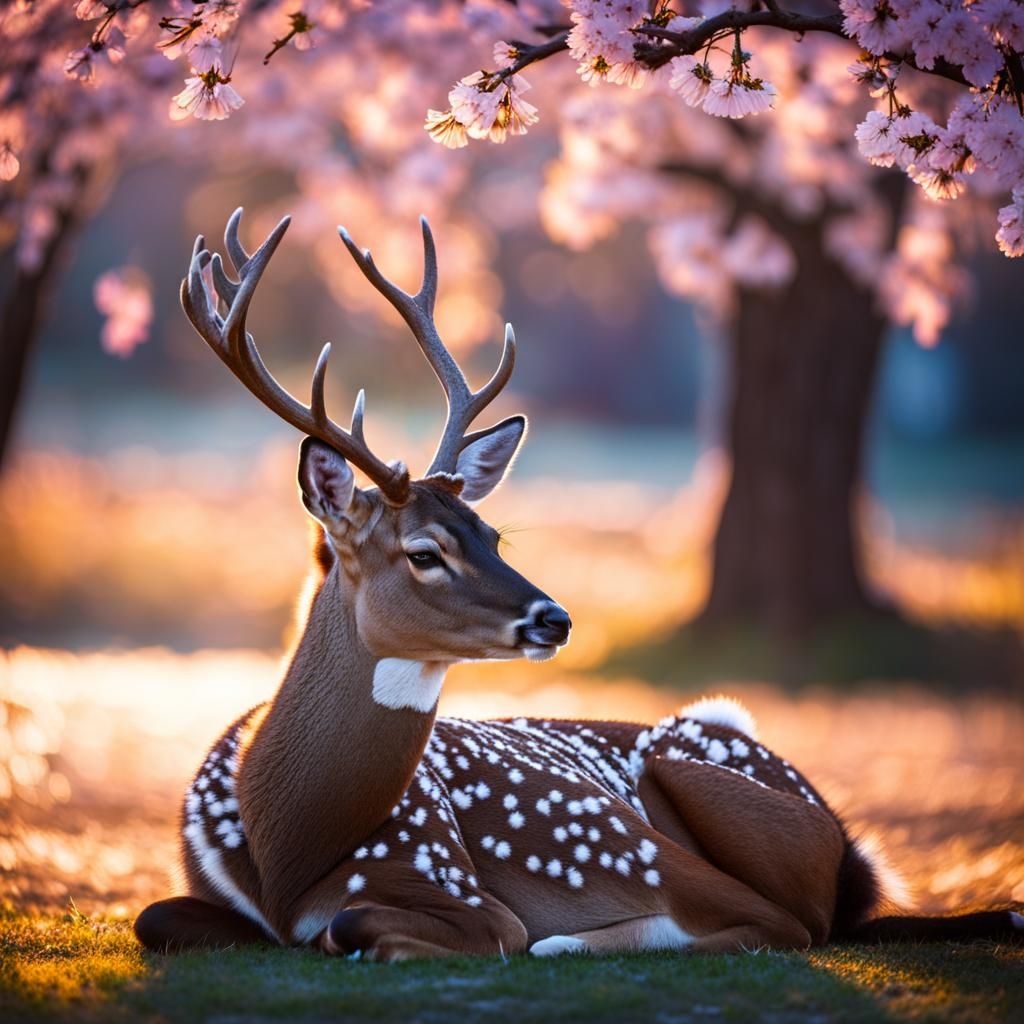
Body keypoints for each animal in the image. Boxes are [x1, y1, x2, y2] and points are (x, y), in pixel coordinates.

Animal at [135, 209, 1023, 959]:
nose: (553, 618)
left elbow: (364, 924)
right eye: (424, 551)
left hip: (679, 800)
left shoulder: (458, 880)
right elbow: (154, 917)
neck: (288, 842)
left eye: (493, 533)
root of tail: (848, 845)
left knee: (786, 924)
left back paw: (577, 940)